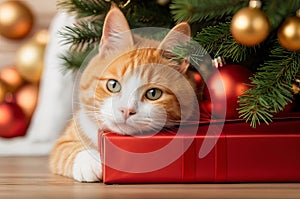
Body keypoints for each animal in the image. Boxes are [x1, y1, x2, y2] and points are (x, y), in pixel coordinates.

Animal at [50, 5, 203, 183]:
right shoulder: (68, 135)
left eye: (153, 93)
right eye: (113, 85)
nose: (126, 110)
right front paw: (90, 162)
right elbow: (65, 149)